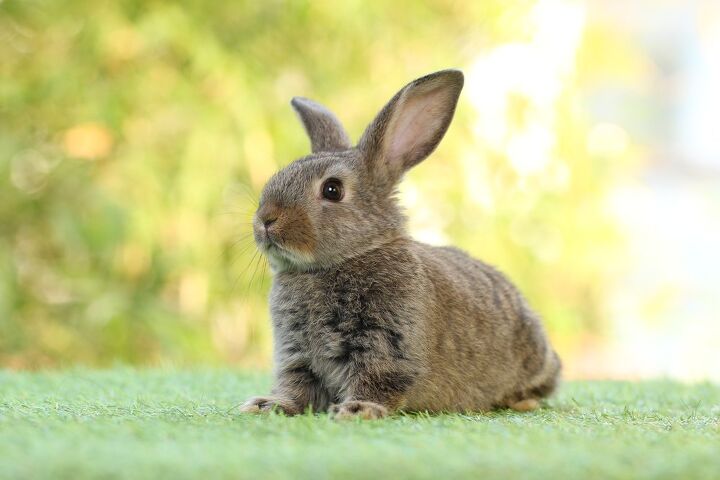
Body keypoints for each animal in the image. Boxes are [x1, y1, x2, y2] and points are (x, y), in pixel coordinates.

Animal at [242, 69, 564, 418]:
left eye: (332, 190)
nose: (265, 219)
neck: (349, 257)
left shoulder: (387, 345)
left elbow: (376, 380)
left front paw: (357, 410)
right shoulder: (298, 355)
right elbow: (297, 388)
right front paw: (267, 405)